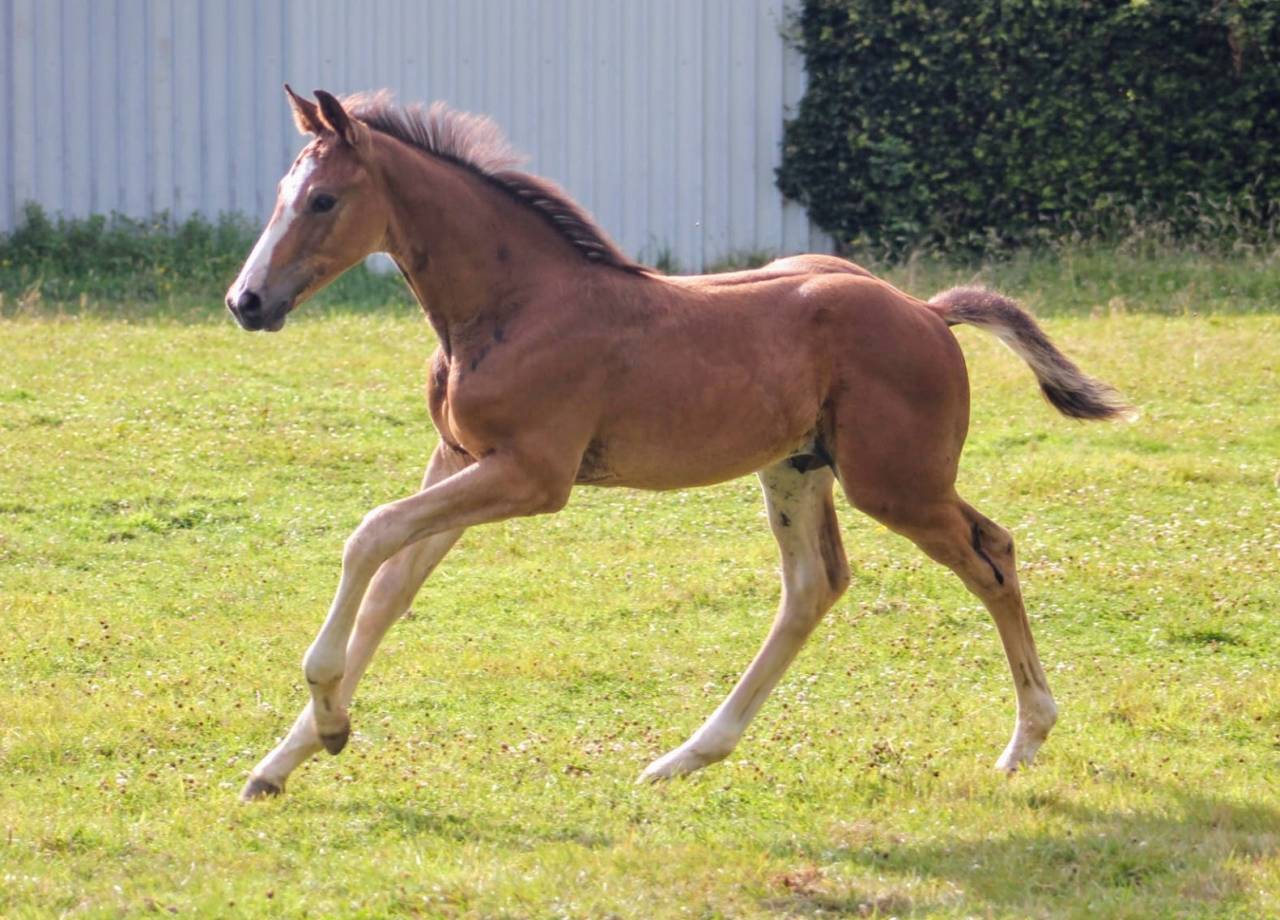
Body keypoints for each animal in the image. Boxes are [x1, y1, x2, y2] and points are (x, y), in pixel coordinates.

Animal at [226, 87, 1130, 801]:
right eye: (281, 193)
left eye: (322, 201)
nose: (246, 301)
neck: (514, 305)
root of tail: (928, 313)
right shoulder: (459, 459)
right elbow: (389, 590)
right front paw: (289, 756)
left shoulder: (531, 476)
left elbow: (368, 535)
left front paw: (327, 723)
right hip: (798, 468)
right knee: (815, 585)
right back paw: (687, 756)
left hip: (896, 482)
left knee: (991, 553)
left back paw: (1027, 738)